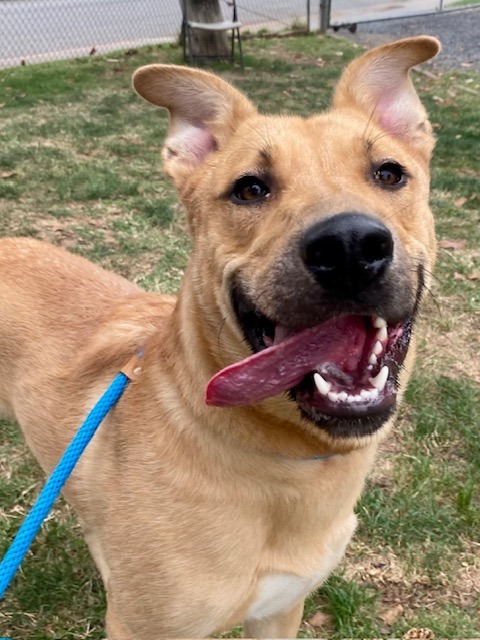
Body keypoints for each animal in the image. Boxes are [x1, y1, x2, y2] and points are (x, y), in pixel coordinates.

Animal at [0, 35, 438, 640]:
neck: (286, 462)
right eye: (250, 189)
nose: (350, 246)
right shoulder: (142, 628)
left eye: (389, 174)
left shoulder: (280, 610)